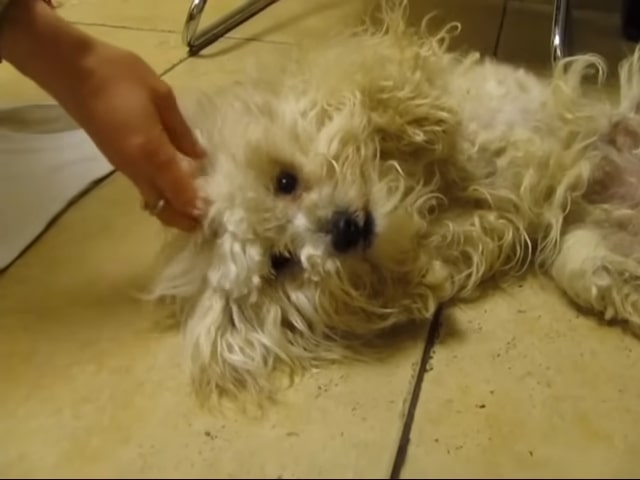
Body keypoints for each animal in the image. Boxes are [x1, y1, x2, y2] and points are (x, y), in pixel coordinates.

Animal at [148, 0, 640, 406]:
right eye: (281, 262)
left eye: (284, 181)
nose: (345, 230)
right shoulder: (481, 227)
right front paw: (420, 279)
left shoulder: (402, 69)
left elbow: (387, 88)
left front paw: (411, 121)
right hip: (584, 253)